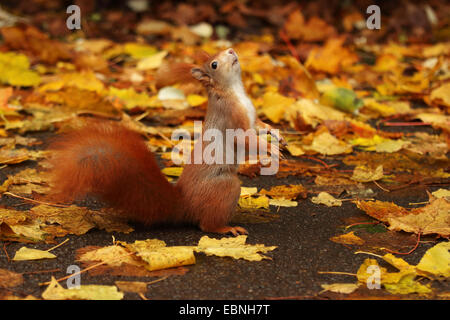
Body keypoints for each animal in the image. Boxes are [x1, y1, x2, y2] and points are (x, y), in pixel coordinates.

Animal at [47, 48, 284, 236]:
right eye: (214, 64)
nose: (232, 50)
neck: (234, 90)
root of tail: (185, 205)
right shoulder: (232, 119)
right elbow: (245, 140)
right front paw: (270, 149)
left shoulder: (252, 118)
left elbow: (260, 126)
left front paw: (277, 135)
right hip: (225, 187)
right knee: (206, 225)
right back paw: (226, 228)